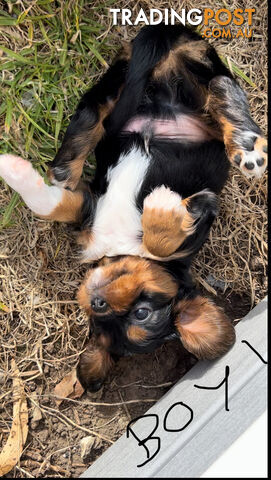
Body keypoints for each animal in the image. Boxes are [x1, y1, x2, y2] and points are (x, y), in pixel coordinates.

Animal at [0, 24, 268, 390]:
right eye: (97, 319)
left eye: (141, 314)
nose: (96, 301)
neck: (121, 247)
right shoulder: (89, 206)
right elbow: (50, 205)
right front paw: (12, 169)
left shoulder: (199, 218)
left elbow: (161, 241)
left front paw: (161, 207)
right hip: (122, 79)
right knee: (94, 113)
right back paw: (64, 167)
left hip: (192, 71)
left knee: (221, 88)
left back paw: (247, 147)